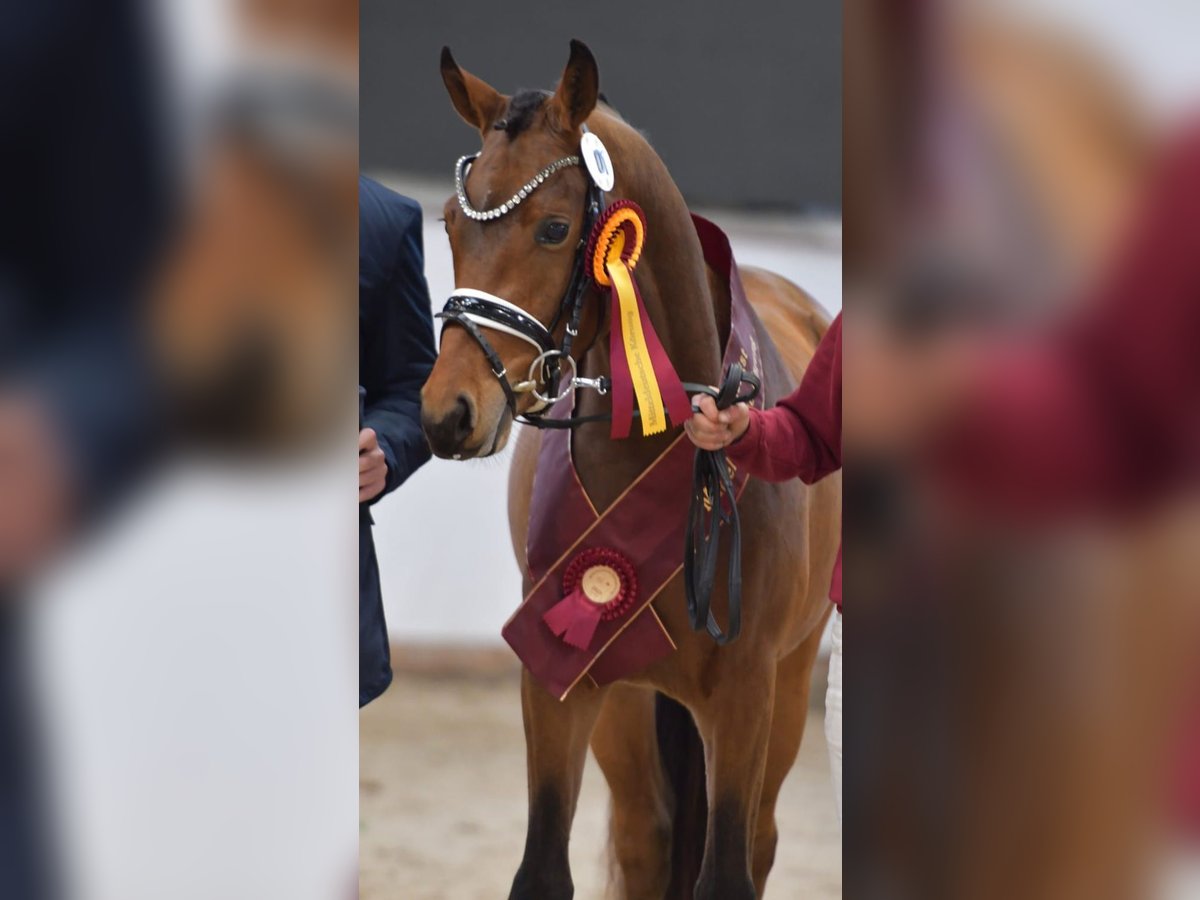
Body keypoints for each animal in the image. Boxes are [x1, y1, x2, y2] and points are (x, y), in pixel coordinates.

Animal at [419, 41, 841, 899]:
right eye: (449, 222)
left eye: (555, 228)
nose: (450, 412)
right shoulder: (559, 674)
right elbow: (543, 868)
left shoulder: (745, 696)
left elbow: (727, 871)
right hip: (626, 706)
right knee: (648, 837)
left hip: (788, 687)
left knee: (759, 840)